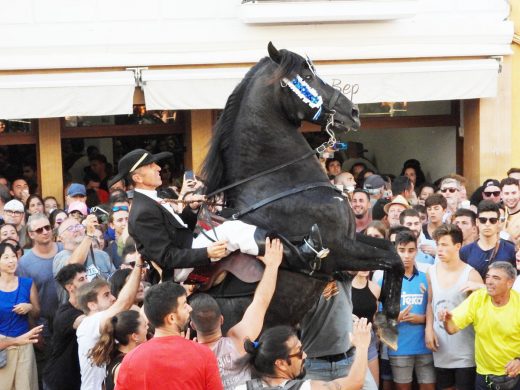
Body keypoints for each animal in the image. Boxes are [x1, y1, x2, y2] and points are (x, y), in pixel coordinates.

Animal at [199, 42, 402, 350]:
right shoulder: (338, 250)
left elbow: (391, 250)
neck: (278, 184)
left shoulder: (352, 238)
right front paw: (388, 323)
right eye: (306, 77)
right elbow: (394, 260)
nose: (353, 111)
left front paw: (387, 319)